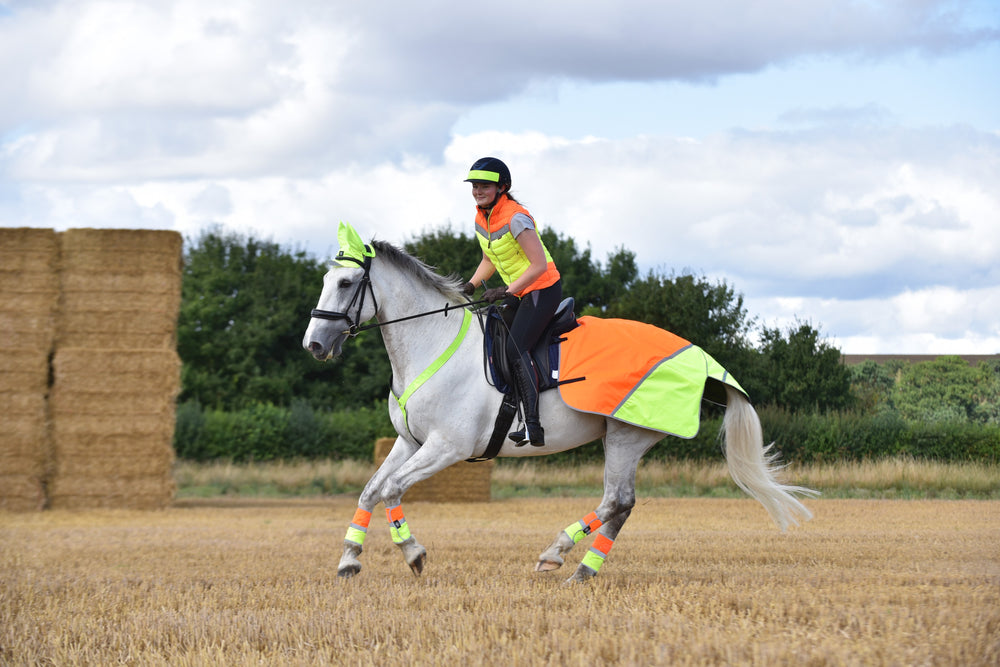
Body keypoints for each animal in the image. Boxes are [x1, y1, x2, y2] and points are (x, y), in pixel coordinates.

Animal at [303, 227, 817, 583]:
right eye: (326, 279)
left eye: (346, 283)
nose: (314, 344)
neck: (430, 342)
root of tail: (697, 355)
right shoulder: (409, 442)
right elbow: (371, 490)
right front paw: (349, 560)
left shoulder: (447, 447)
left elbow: (392, 490)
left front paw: (413, 554)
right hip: (623, 438)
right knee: (623, 504)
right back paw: (583, 571)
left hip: (627, 434)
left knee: (616, 500)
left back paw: (555, 554)